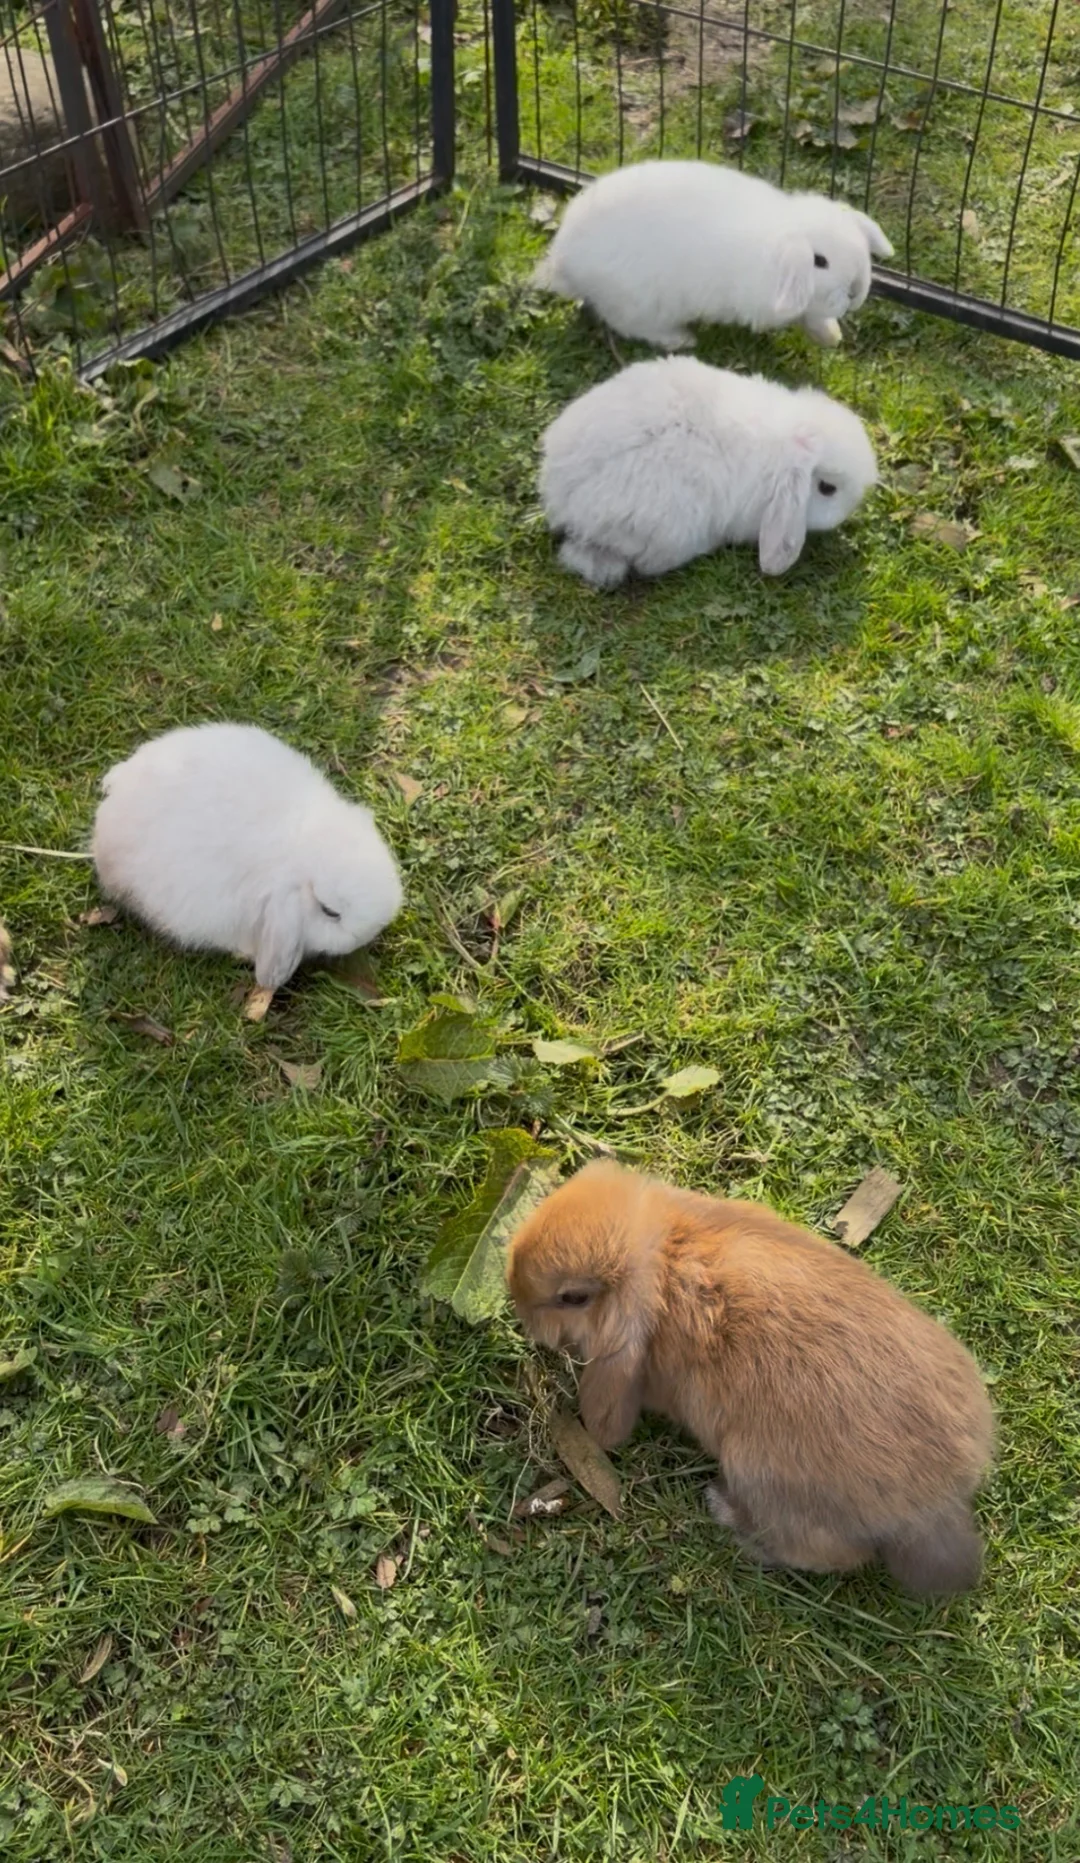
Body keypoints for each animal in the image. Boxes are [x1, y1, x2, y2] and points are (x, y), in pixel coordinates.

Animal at [508, 1161, 994, 1596]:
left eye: (573, 1297)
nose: (518, 1304)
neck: (664, 1256)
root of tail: (932, 1507)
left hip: (752, 1468)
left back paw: (726, 1513)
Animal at [533, 159, 894, 348]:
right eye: (820, 262)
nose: (855, 292)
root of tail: (563, 258)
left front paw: (831, 336)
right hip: (639, 304)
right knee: (630, 324)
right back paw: (683, 340)